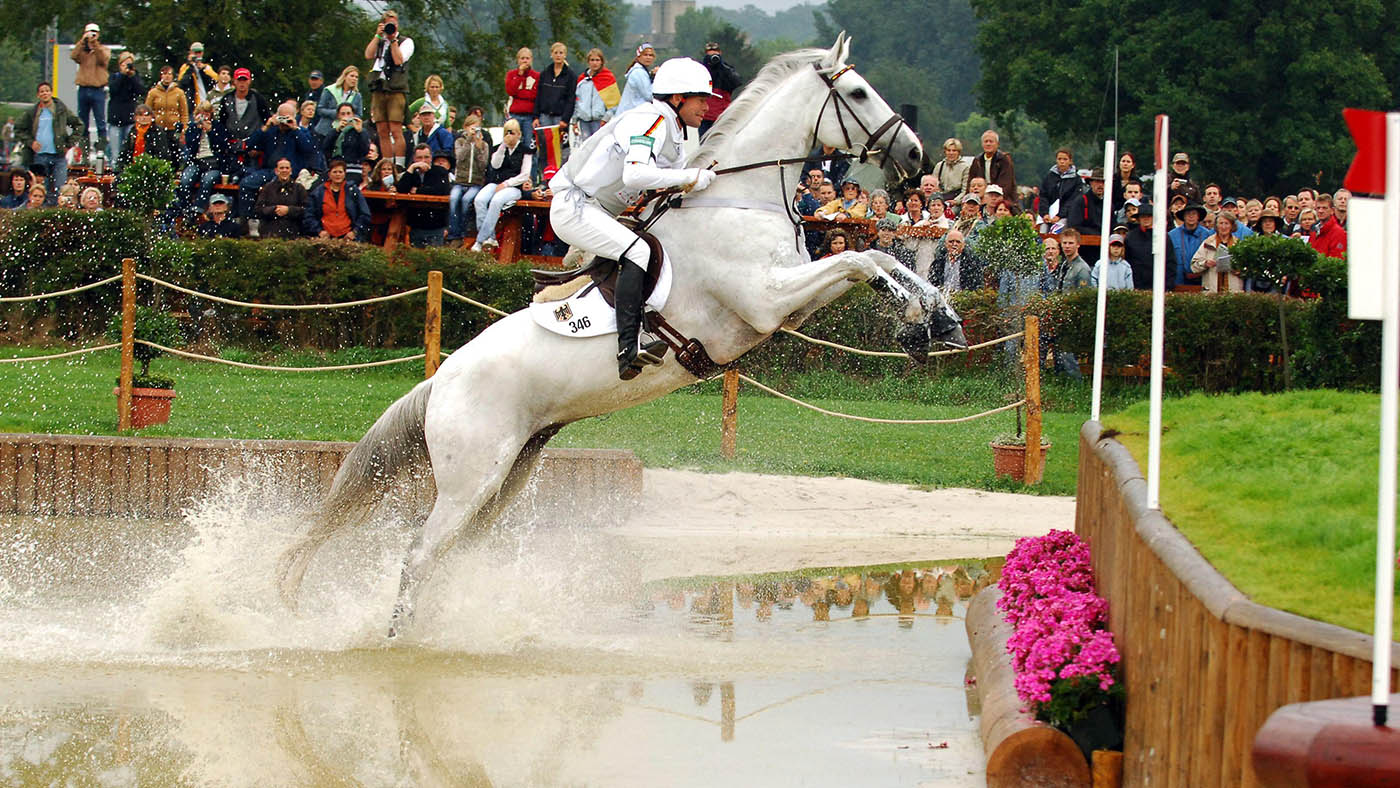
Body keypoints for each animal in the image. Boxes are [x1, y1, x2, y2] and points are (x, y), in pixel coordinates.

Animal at [277, 34, 968, 637]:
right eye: (856, 92)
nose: (916, 157)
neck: (741, 198)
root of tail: (441, 379)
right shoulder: (767, 301)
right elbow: (858, 261)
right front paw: (923, 322)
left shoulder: (789, 302)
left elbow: (873, 259)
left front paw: (938, 321)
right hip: (471, 478)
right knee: (419, 553)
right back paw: (399, 641)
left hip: (506, 476)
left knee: (444, 554)